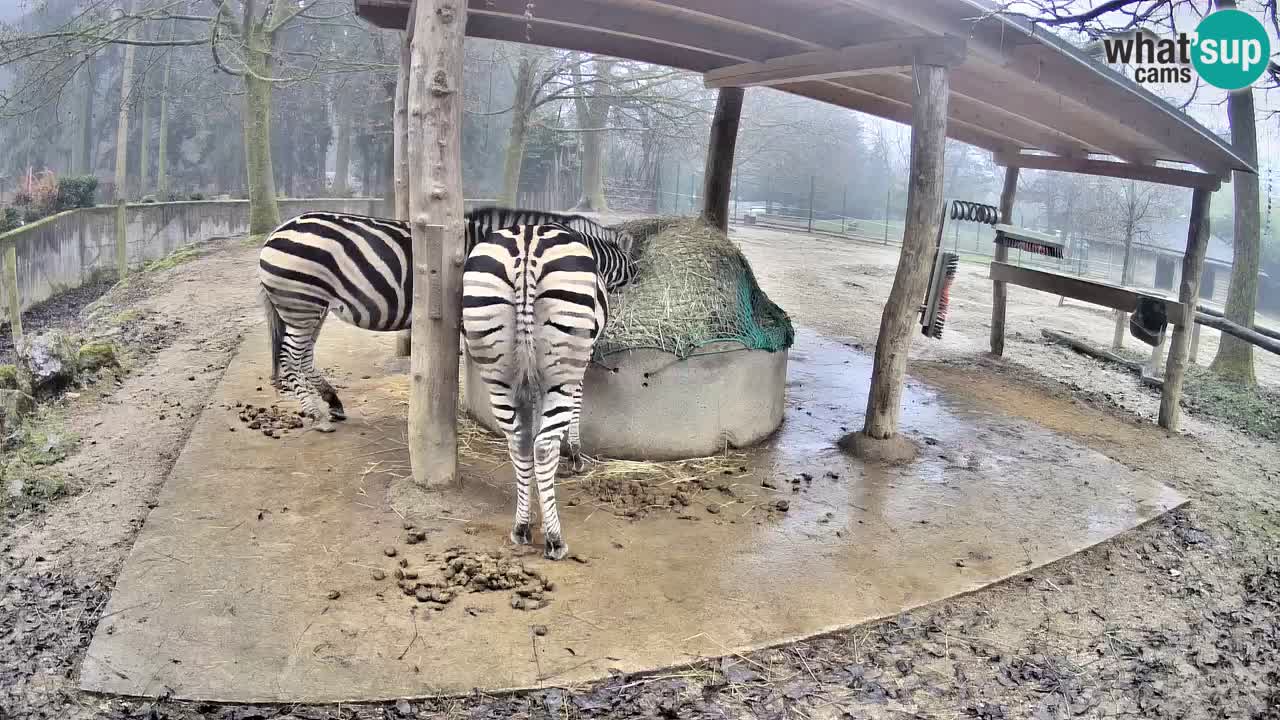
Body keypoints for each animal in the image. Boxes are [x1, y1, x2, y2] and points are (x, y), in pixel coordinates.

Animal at [257, 207, 635, 433]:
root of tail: (274, 232)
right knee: (291, 360)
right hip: (302, 303)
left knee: (304, 358)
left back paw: (332, 403)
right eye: (632, 267)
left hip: (312, 307)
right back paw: (317, 416)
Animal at [461, 222, 609, 560]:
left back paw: (522, 526)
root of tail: (527, 243)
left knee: (519, 442)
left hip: (496, 368)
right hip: (563, 366)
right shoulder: (580, 363)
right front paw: (575, 455)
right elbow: (576, 407)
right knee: (542, 447)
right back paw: (555, 539)